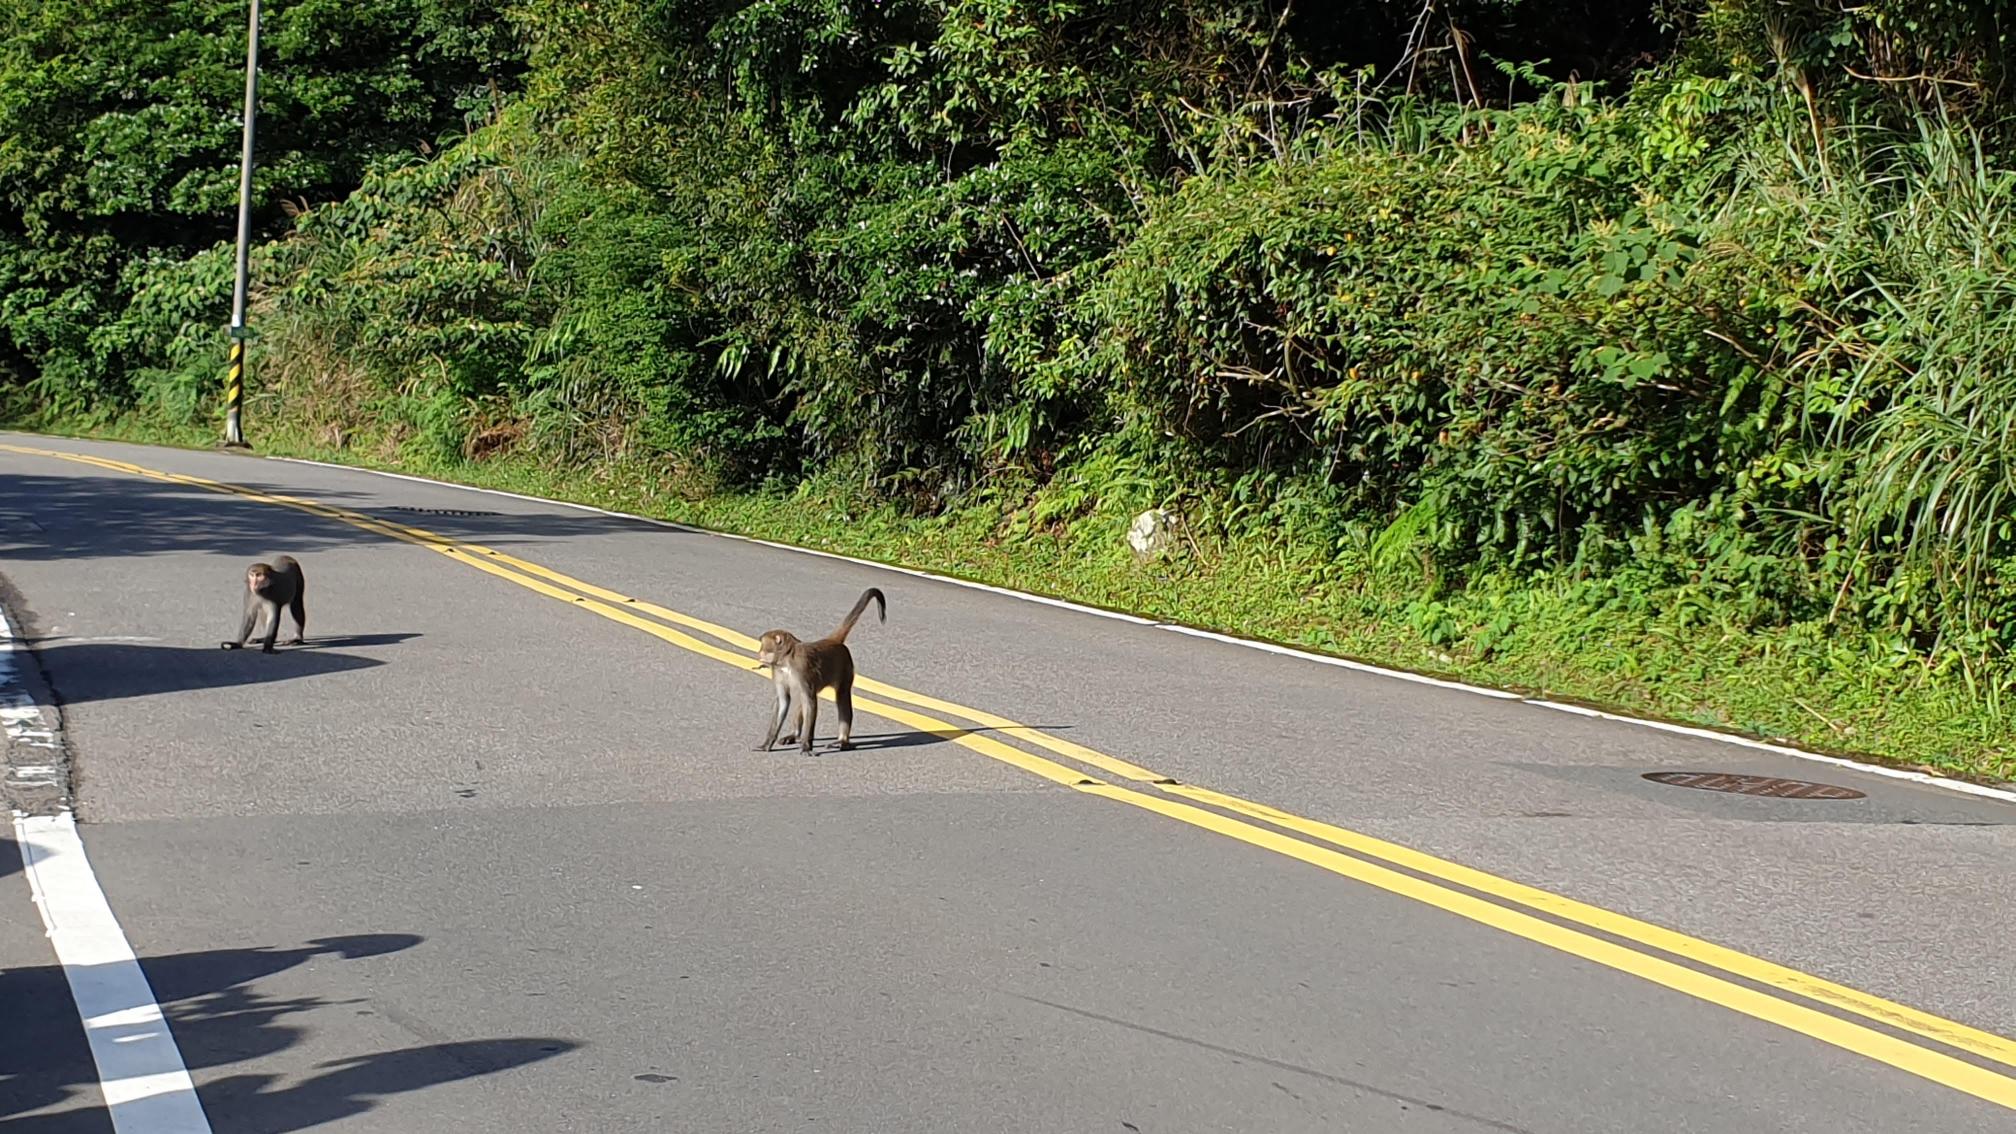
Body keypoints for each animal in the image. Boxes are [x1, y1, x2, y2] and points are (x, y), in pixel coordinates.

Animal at [753, 581, 887, 750]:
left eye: (763, 645)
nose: (759, 653)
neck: (786, 660)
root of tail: (832, 641)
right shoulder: (777, 671)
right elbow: (784, 701)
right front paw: (767, 743)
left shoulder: (801, 668)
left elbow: (811, 702)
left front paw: (806, 745)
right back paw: (796, 734)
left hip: (845, 667)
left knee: (841, 695)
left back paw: (842, 740)